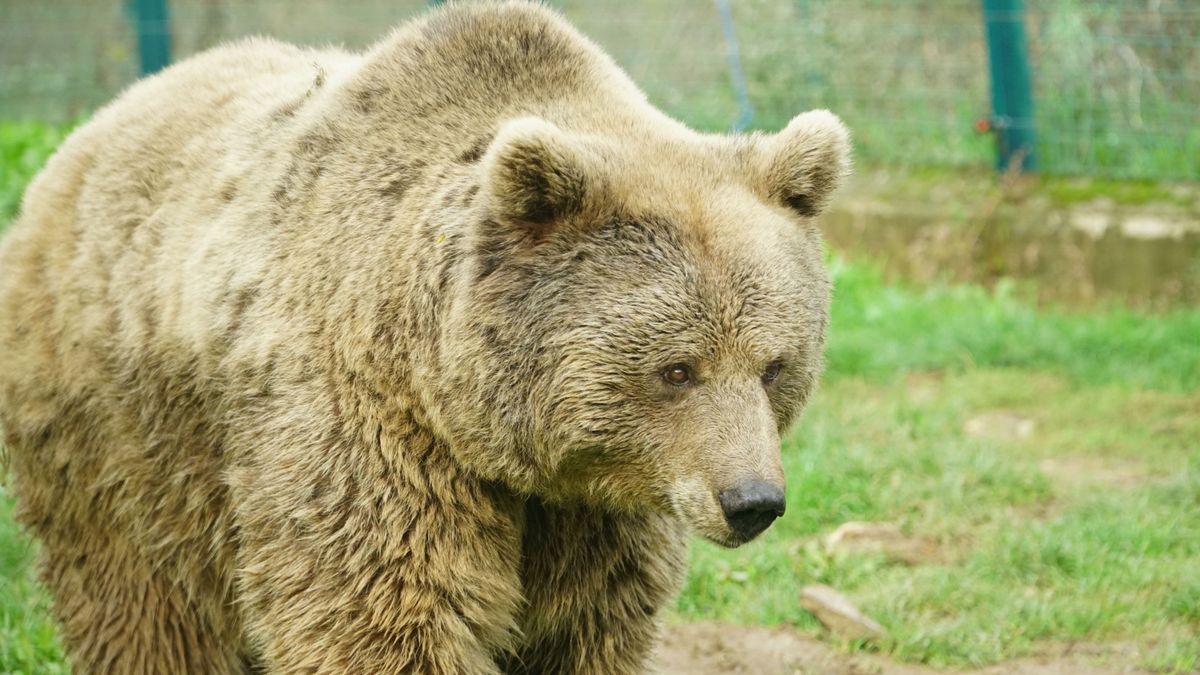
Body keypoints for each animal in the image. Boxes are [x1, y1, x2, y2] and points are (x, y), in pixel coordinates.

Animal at [0, 1, 850, 673]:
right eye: (677, 368)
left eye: (774, 366)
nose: (752, 500)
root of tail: (90, 132)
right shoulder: (368, 425)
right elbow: (380, 610)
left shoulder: (596, 511)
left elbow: (583, 625)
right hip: (121, 432)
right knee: (143, 600)